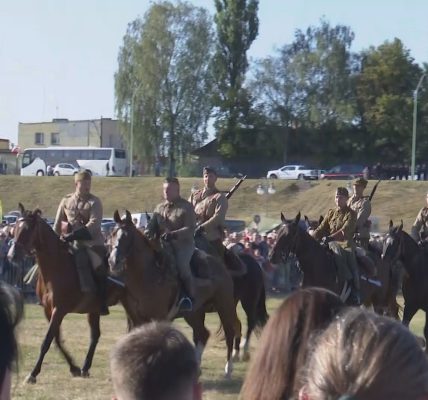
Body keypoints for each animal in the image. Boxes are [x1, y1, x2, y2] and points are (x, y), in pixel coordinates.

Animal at [10, 205, 121, 382]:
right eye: (14, 229)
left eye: (27, 229)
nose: (11, 255)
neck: (57, 266)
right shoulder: (48, 310)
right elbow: (56, 340)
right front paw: (74, 368)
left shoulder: (59, 310)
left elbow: (47, 341)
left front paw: (33, 373)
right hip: (94, 311)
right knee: (95, 336)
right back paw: (85, 368)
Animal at [108, 211, 237, 376]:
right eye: (112, 233)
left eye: (127, 236)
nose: (113, 261)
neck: (147, 274)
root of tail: (220, 265)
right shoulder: (134, 318)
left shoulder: (158, 317)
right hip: (194, 313)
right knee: (202, 334)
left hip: (224, 306)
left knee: (229, 333)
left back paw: (228, 369)